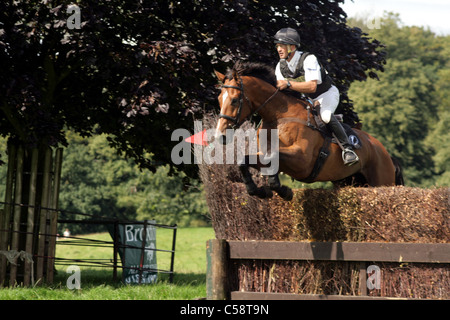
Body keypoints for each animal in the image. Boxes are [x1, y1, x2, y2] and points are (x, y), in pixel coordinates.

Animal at [213, 61, 402, 201]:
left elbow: (273, 156)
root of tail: (384, 151)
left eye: (235, 100)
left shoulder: (303, 160)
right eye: (219, 99)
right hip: (349, 181)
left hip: (382, 181)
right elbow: (244, 161)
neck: (278, 116)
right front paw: (260, 191)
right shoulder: (266, 154)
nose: (220, 136)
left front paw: (283, 190)